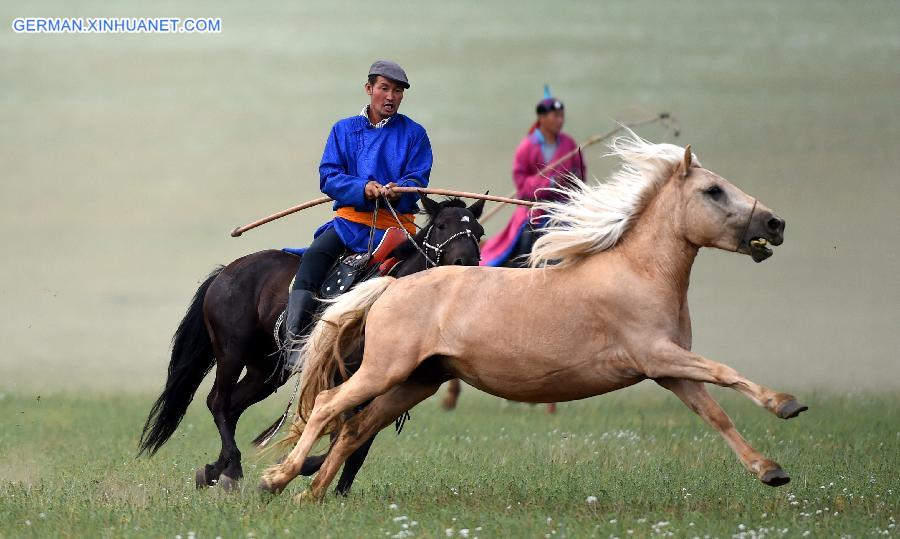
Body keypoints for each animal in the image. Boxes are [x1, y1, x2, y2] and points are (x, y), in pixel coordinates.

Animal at [139, 198, 486, 494]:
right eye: (441, 225)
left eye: (479, 232)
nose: (465, 262)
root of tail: (226, 272)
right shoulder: (345, 375)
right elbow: (342, 431)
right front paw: (295, 469)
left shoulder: (387, 384)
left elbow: (360, 437)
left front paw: (338, 489)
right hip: (231, 352)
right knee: (218, 402)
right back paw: (231, 469)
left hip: (267, 370)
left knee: (233, 404)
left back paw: (215, 469)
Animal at [258, 136, 800, 502]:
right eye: (713, 191)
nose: (775, 223)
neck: (638, 271)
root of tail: (392, 285)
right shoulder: (658, 354)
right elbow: (723, 372)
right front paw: (785, 404)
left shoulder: (667, 369)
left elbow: (715, 412)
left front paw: (769, 469)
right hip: (383, 370)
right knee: (328, 405)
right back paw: (276, 479)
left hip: (418, 380)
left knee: (354, 429)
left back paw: (310, 494)